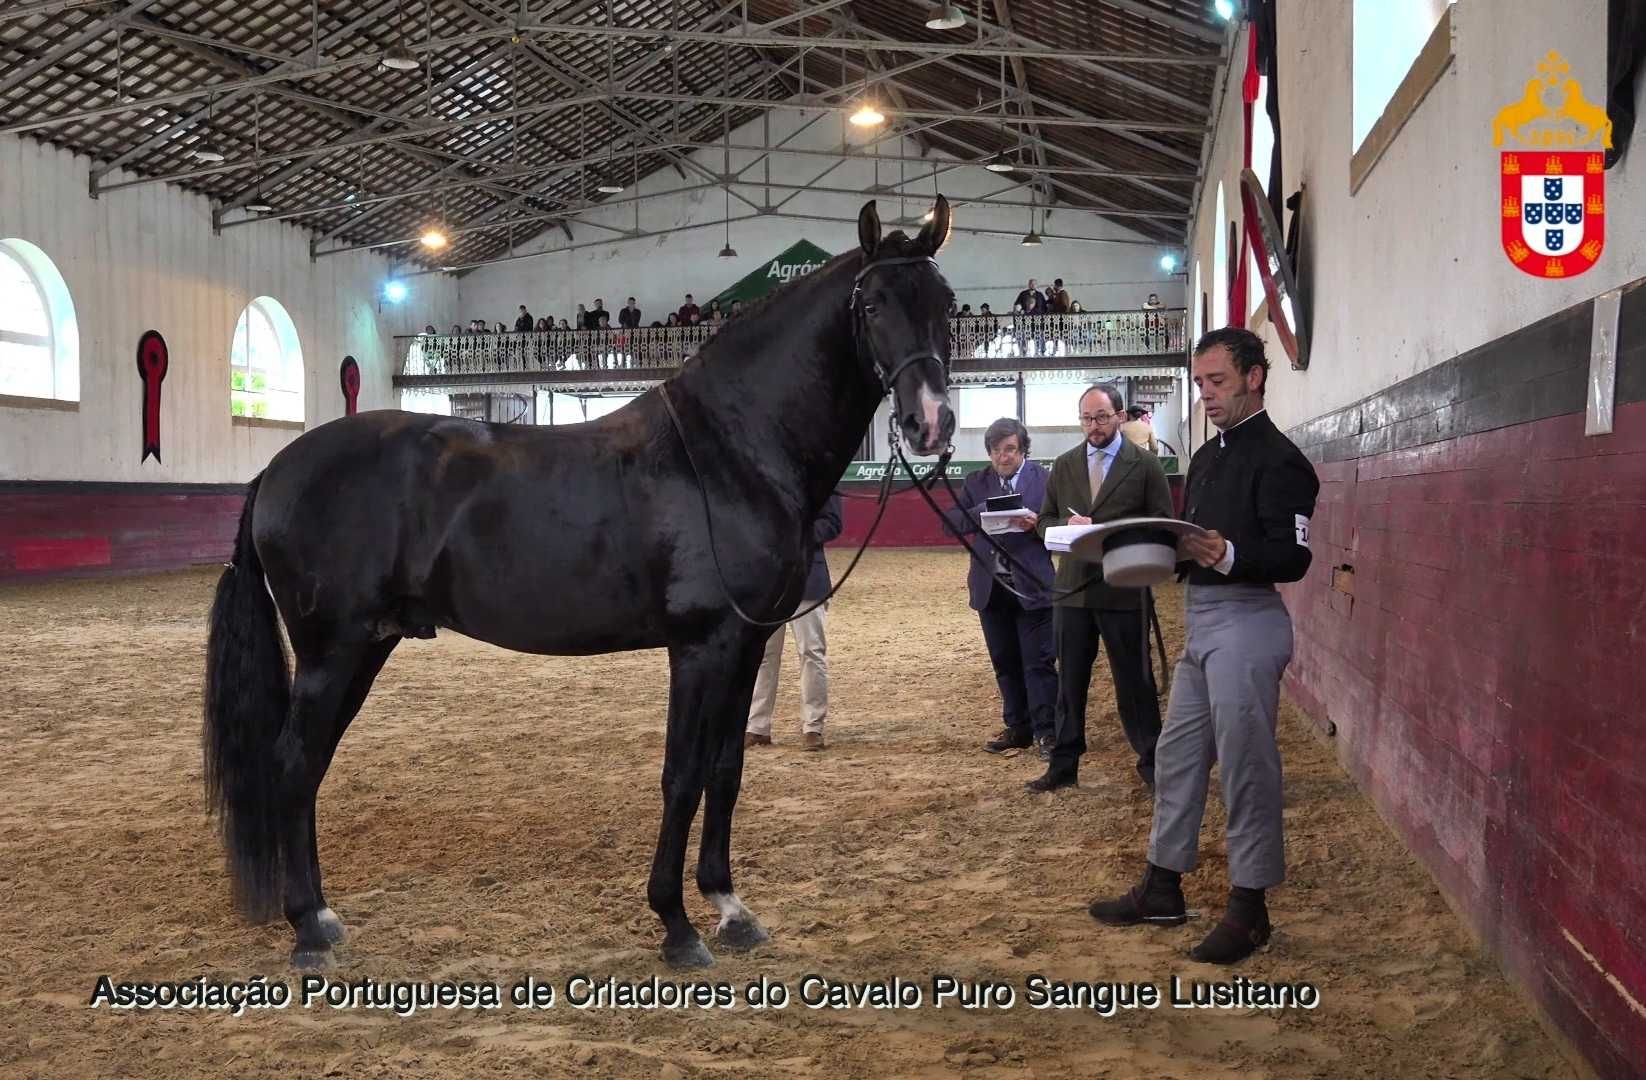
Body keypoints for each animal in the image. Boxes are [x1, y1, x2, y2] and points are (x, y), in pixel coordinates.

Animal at [200, 198, 961, 968]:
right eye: (872, 302)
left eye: (946, 303)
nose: (931, 423)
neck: (731, 451)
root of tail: (275, 470)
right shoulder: (700, 647)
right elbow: (682, 774)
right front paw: (677, 925)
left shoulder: (747, 643)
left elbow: (726, 769)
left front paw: (729, 906)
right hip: (332, 652)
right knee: (294, 764)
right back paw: (306, 930)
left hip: (365, 647)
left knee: (309, 767)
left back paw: (321, 919)